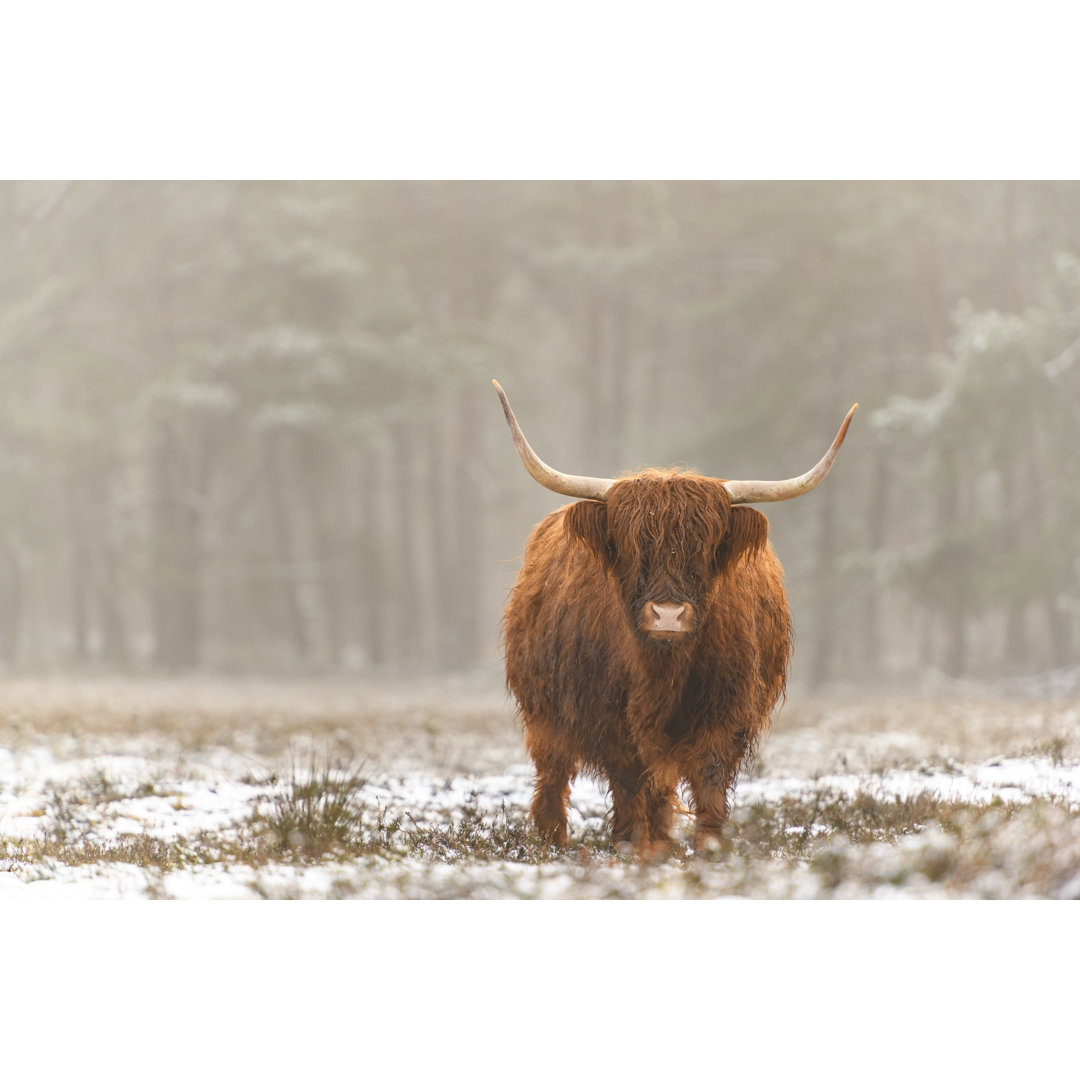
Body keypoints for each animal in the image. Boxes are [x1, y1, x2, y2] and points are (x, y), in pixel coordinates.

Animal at [494, 384, 855, 855]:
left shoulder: (726, 715)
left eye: (705, 546)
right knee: (553, 777)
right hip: (544, 713)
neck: (662, 671)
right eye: (631, 545)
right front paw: (632, 847)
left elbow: (709, 782)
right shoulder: (610, 720)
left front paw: (708, 848)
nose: (668, 615)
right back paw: (551, 840)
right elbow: (628, 783)